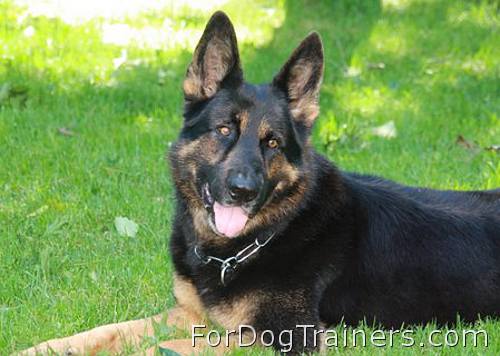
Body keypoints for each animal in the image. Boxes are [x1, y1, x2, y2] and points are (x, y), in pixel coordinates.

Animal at [23, 11, 500, 356]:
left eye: (272, 143)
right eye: (224, 130)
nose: (243, 190)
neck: (244, 246)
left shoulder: (283, 338)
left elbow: (166, 347)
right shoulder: (187, 313)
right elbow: (106, 331)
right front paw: (45, 347)